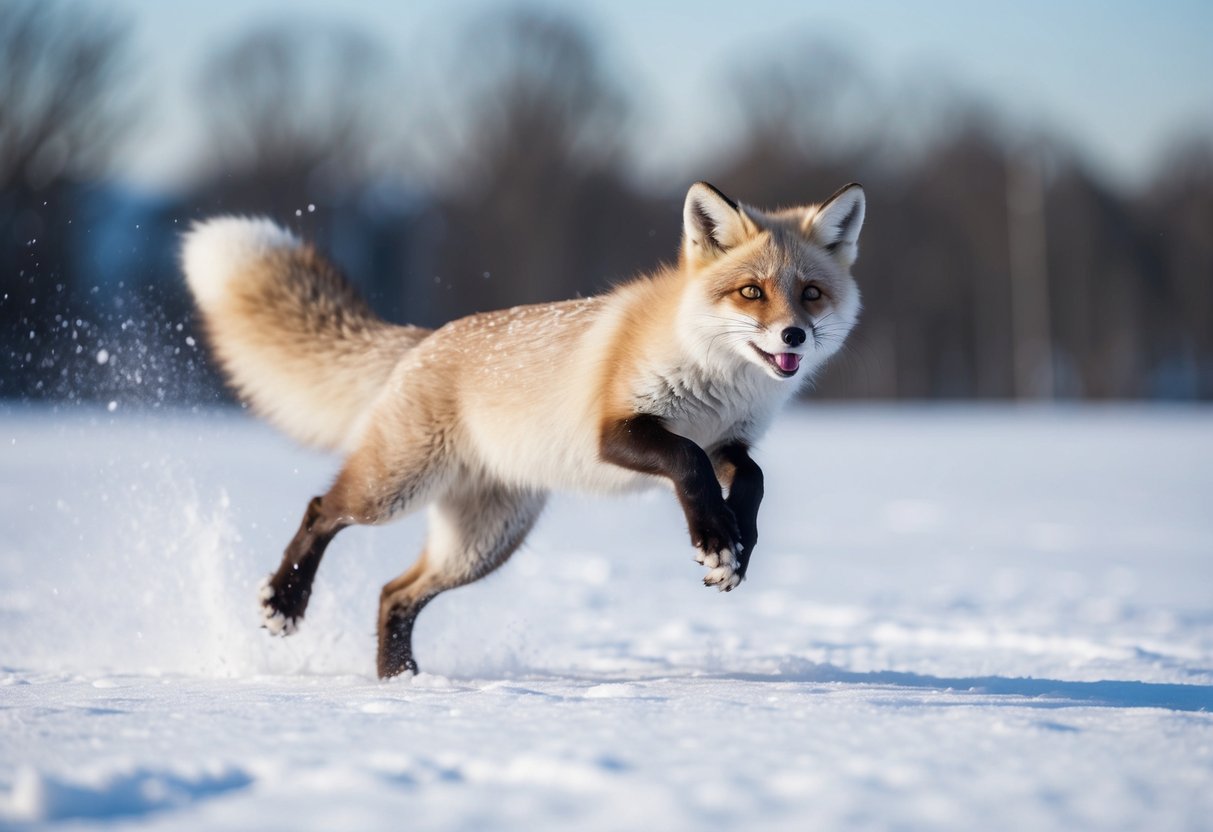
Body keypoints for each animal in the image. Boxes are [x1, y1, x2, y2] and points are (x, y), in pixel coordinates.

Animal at [180, 181, 865, 678]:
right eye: (751, 291)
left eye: (810, 294)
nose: (793, 336)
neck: (718, 380)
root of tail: (425, 339)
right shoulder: (618, 431)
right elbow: (688, 464)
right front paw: (717, 541)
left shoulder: (730, 439)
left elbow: (752, 479)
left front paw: (738, 543)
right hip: (395, 490)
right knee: (322, 509)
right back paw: (284, 602)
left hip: (483, 544)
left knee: (392, 593)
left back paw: (400, 683)